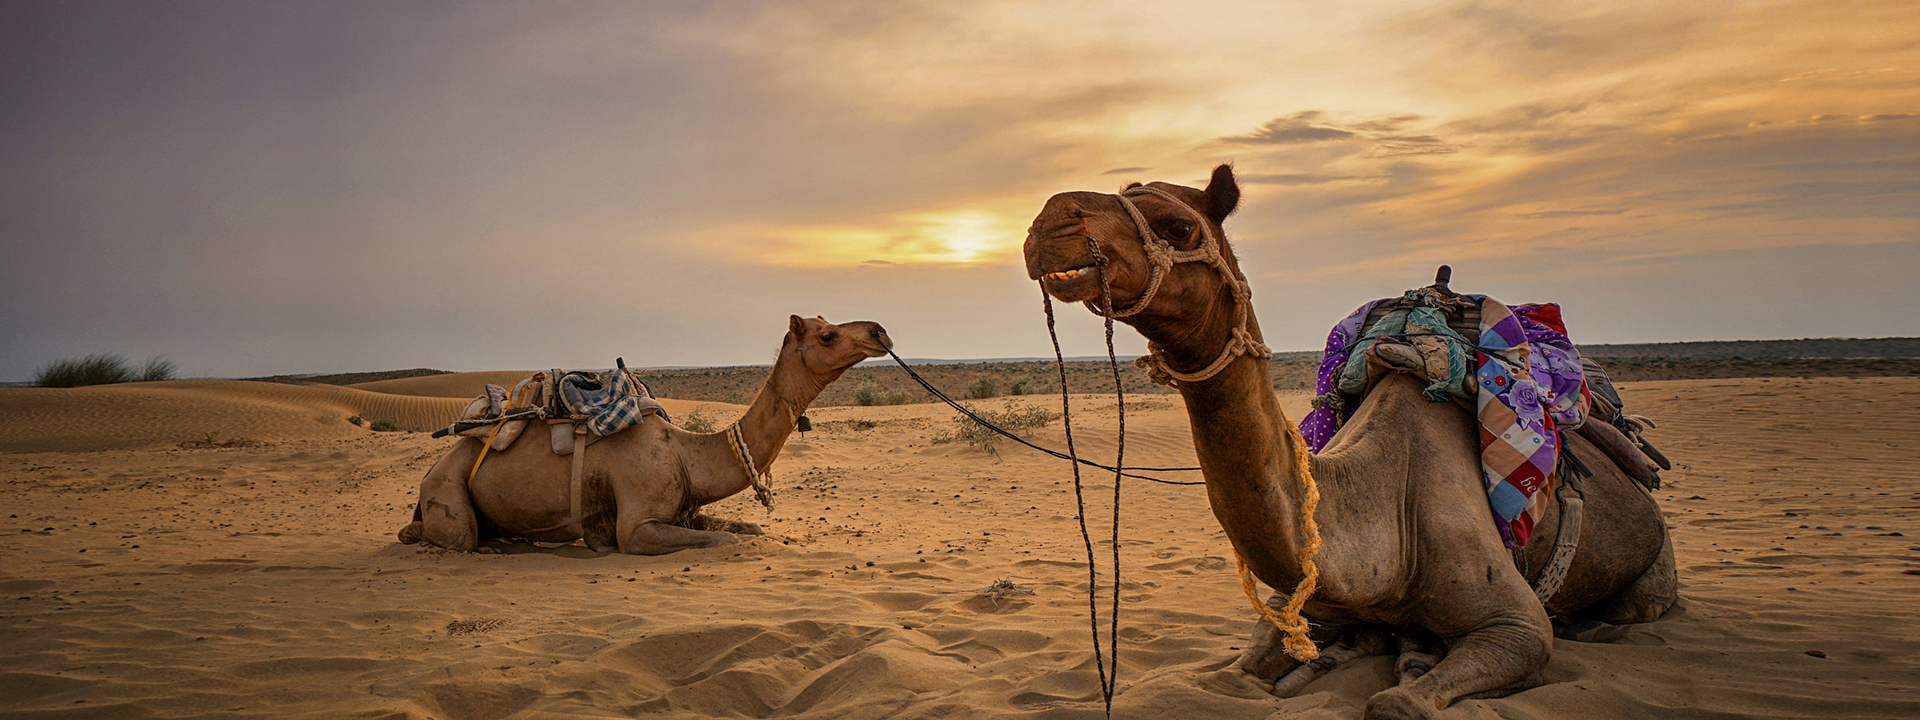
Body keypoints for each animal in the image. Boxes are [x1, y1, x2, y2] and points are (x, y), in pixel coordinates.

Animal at [401, 314, 894, 556]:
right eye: (827, 336)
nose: (881, 332)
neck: (686, 453)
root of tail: (431, 470)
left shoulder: (686, 512)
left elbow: (747, 528)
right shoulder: (638, 526)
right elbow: (728, 541)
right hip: (446, 489)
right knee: (451, 535)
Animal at [1029, 166, 1674, 718]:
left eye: (1177, 227)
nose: (1049, 221)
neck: (1383, 522)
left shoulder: (1517, 627)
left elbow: (1396, 703)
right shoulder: (1298, 605)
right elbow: (1227, 678)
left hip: (1651, 565)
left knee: (1636, 605)